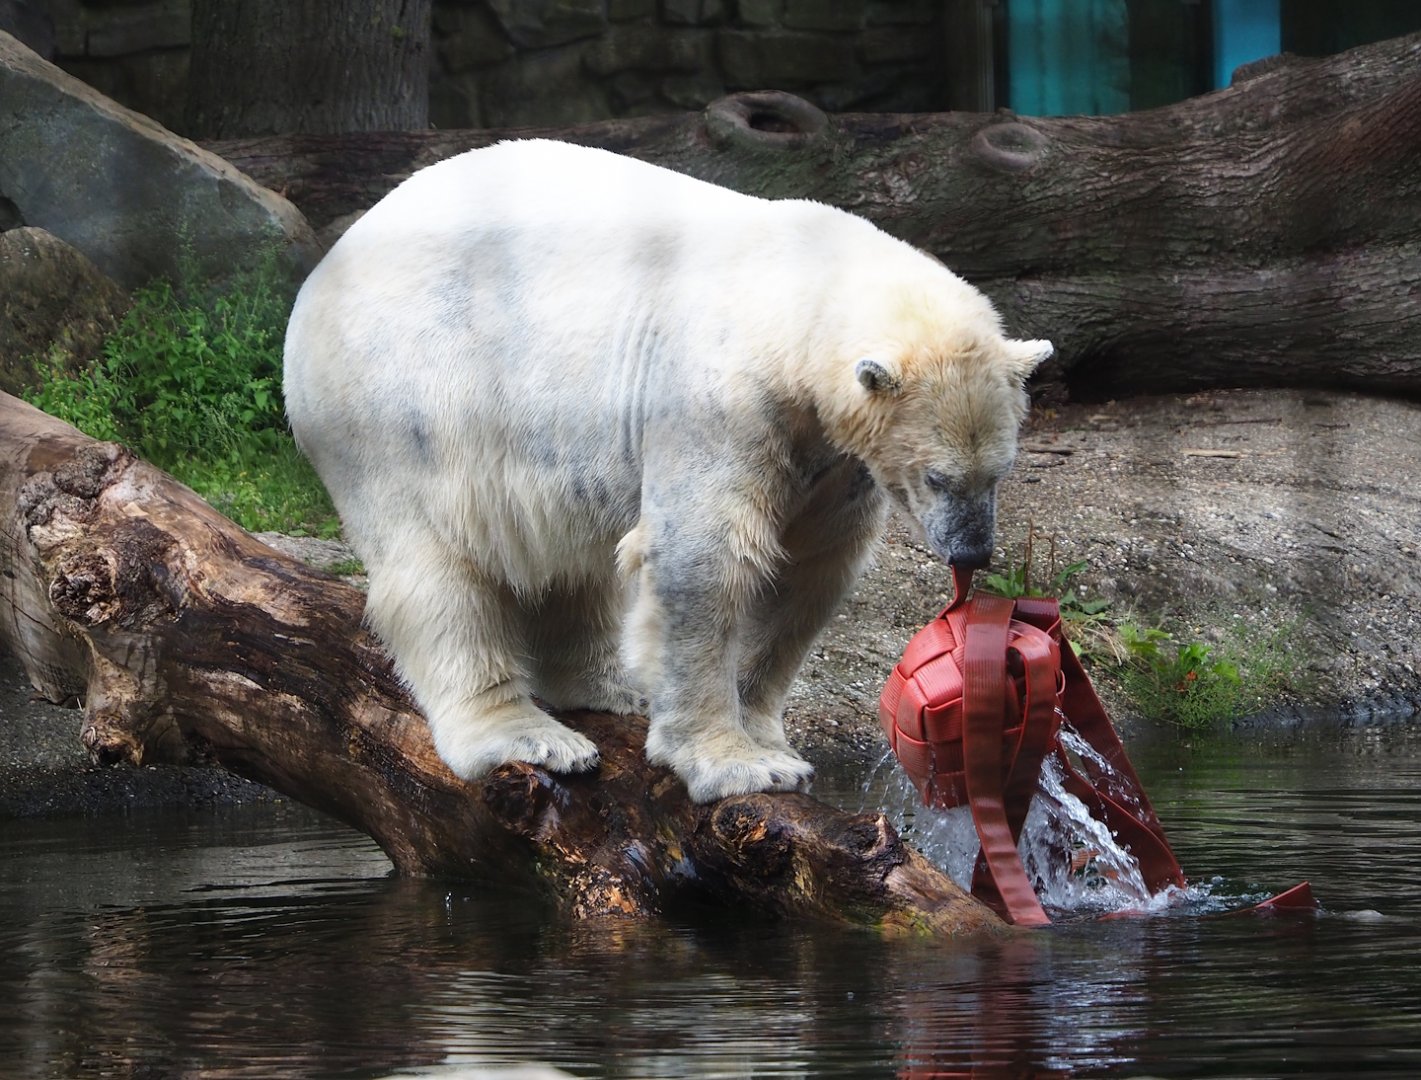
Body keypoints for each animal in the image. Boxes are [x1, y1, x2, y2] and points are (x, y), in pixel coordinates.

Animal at [283, 139, 1051, 804]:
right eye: (938, 478)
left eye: (999, 472)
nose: (970, 551)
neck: (794, 292)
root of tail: (320, 276)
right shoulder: (721, 401)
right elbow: (707, 560)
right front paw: (737, 764)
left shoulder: (832, 455)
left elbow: (809, 570)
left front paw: (768, 738)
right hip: (407, 403)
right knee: (438, 565)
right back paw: (529, 735)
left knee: (571, 558)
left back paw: (610, 686)